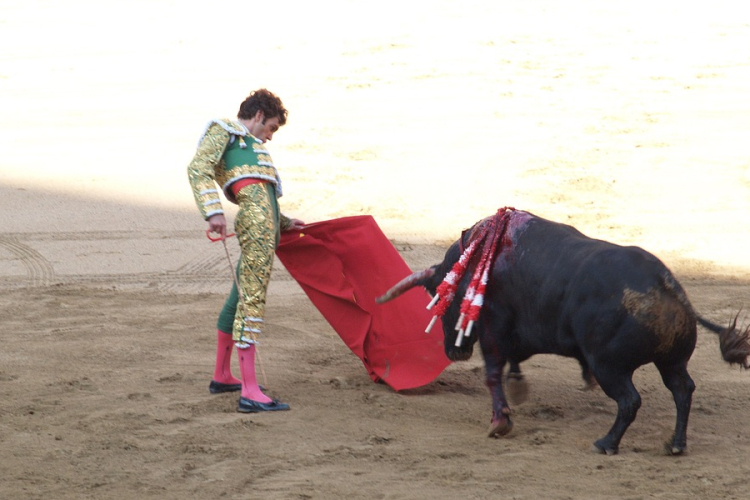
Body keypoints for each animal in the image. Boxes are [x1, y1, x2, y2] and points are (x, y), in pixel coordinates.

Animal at [382, 209, 750, 456]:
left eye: (439, 297)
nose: (453, 351)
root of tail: (667, 285)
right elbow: (512, 364)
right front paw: (519, 386)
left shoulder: (493, 329)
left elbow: (492, 374)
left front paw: (500, 422)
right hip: (671, 361)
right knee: (683, 390)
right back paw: (675, 444)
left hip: (611, 367)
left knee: (630, 400)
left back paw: (606, 443)